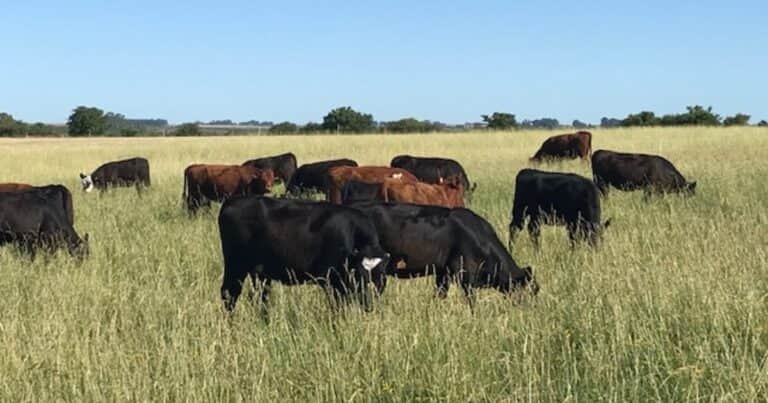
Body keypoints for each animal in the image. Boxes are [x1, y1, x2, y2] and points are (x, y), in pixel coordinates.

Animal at [218, 196, 390, 313]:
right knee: (229, 294)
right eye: (360, 274)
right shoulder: (330, 280)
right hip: (235, 265)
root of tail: (232, 201)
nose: (369, 299)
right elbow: (337, 307)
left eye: (380, 275)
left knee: (261, 297)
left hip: (259, 272)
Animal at [349, 202, 538, 307]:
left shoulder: (443, 272)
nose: (533, 310)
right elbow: (471, 301)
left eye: (536, 291)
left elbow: (440, 294)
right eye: (528, 292)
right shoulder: (465, 273)